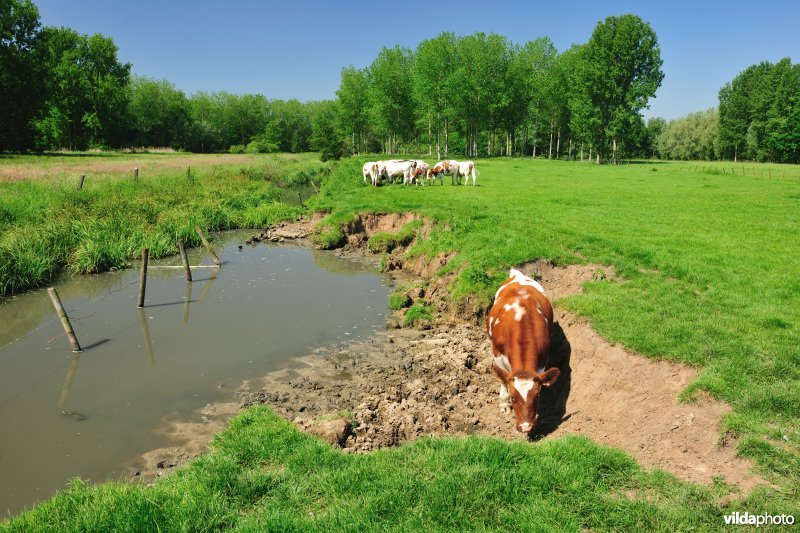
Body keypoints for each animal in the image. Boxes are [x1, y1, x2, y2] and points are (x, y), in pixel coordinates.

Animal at [484, 268, 560, 434]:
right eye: (513, 397)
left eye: (537, 396)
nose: (526, 427)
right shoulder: (497, 354)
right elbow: (503, 379)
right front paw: (504, 404)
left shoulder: (542, 359)